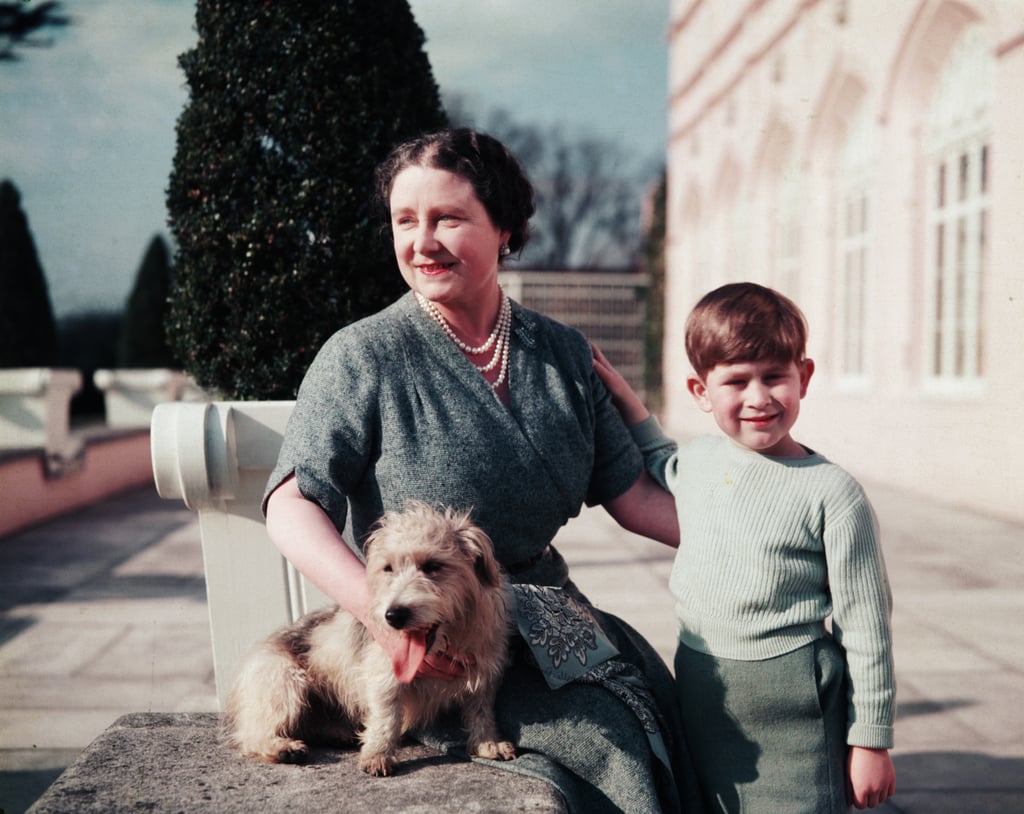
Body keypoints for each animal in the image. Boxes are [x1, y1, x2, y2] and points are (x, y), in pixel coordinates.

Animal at [222, 503, 512, 778]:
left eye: (432, 566)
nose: (393, 615)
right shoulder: (383, 676)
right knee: (249, 735)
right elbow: (386, 717)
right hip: (284, 681)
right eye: (388, 568)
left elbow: (481, 710)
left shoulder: (485, 673)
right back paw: (281, 747)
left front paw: (487, 742)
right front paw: (378, 754)